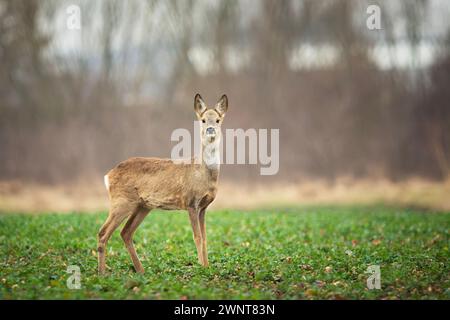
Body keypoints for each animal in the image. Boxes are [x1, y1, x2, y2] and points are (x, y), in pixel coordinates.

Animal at [96, 94, 227, 274]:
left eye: (218, 120)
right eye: (203, 120)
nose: (210, 129)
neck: (203, 174)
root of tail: (108, 175)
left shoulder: (203, 207)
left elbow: (206, 237)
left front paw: (207, 267)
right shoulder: (191, 202)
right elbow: (197, 237)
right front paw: (201, 269)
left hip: (143, 205)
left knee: (126, 232)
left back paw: (141, 271)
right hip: (122, 201)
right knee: (103, 232)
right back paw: (102, 273)